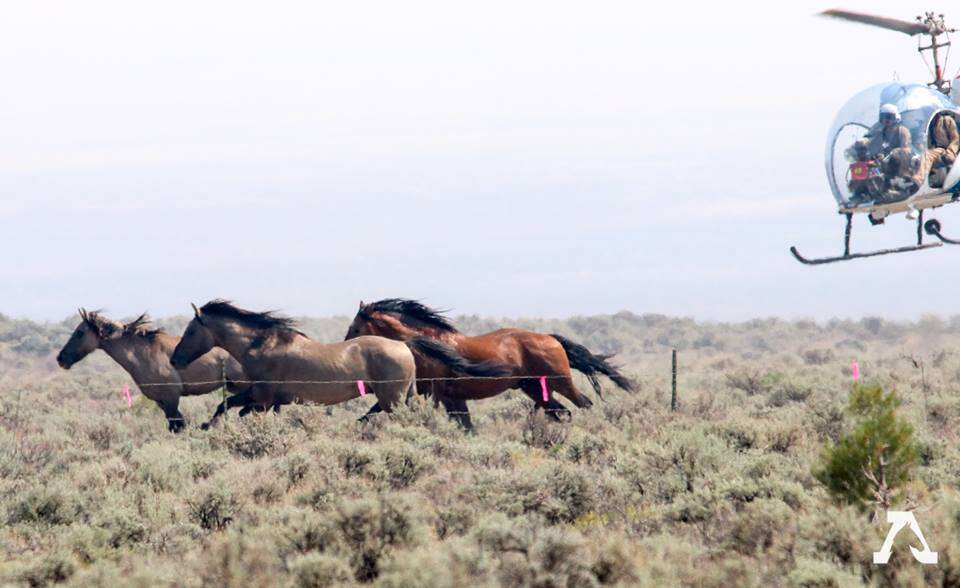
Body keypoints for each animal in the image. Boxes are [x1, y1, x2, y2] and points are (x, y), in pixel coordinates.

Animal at [54, 308, 251, 432]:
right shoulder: (161, 401)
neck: (143, 353)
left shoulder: (171, 398)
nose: (61, 358)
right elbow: (179, 425)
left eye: (80, 332)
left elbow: (178, 427)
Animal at [168, 298, 506, 428]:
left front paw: (207, 426)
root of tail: (404, 344)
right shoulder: (265, 399)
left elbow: (230, 407)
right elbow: (229, 406)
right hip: (405, 395)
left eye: (190, 330)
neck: (262, 347)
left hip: (392, 398)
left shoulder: (262, 397)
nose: (175, 358)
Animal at [346, 298, 636, 428]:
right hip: (534, 389)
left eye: (355, 327)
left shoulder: (432, 394)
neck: (424, 345)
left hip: (561, 381)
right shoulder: (450, 398)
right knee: (562, 412)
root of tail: (551, 338)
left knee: (583, 404)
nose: (346, 347)